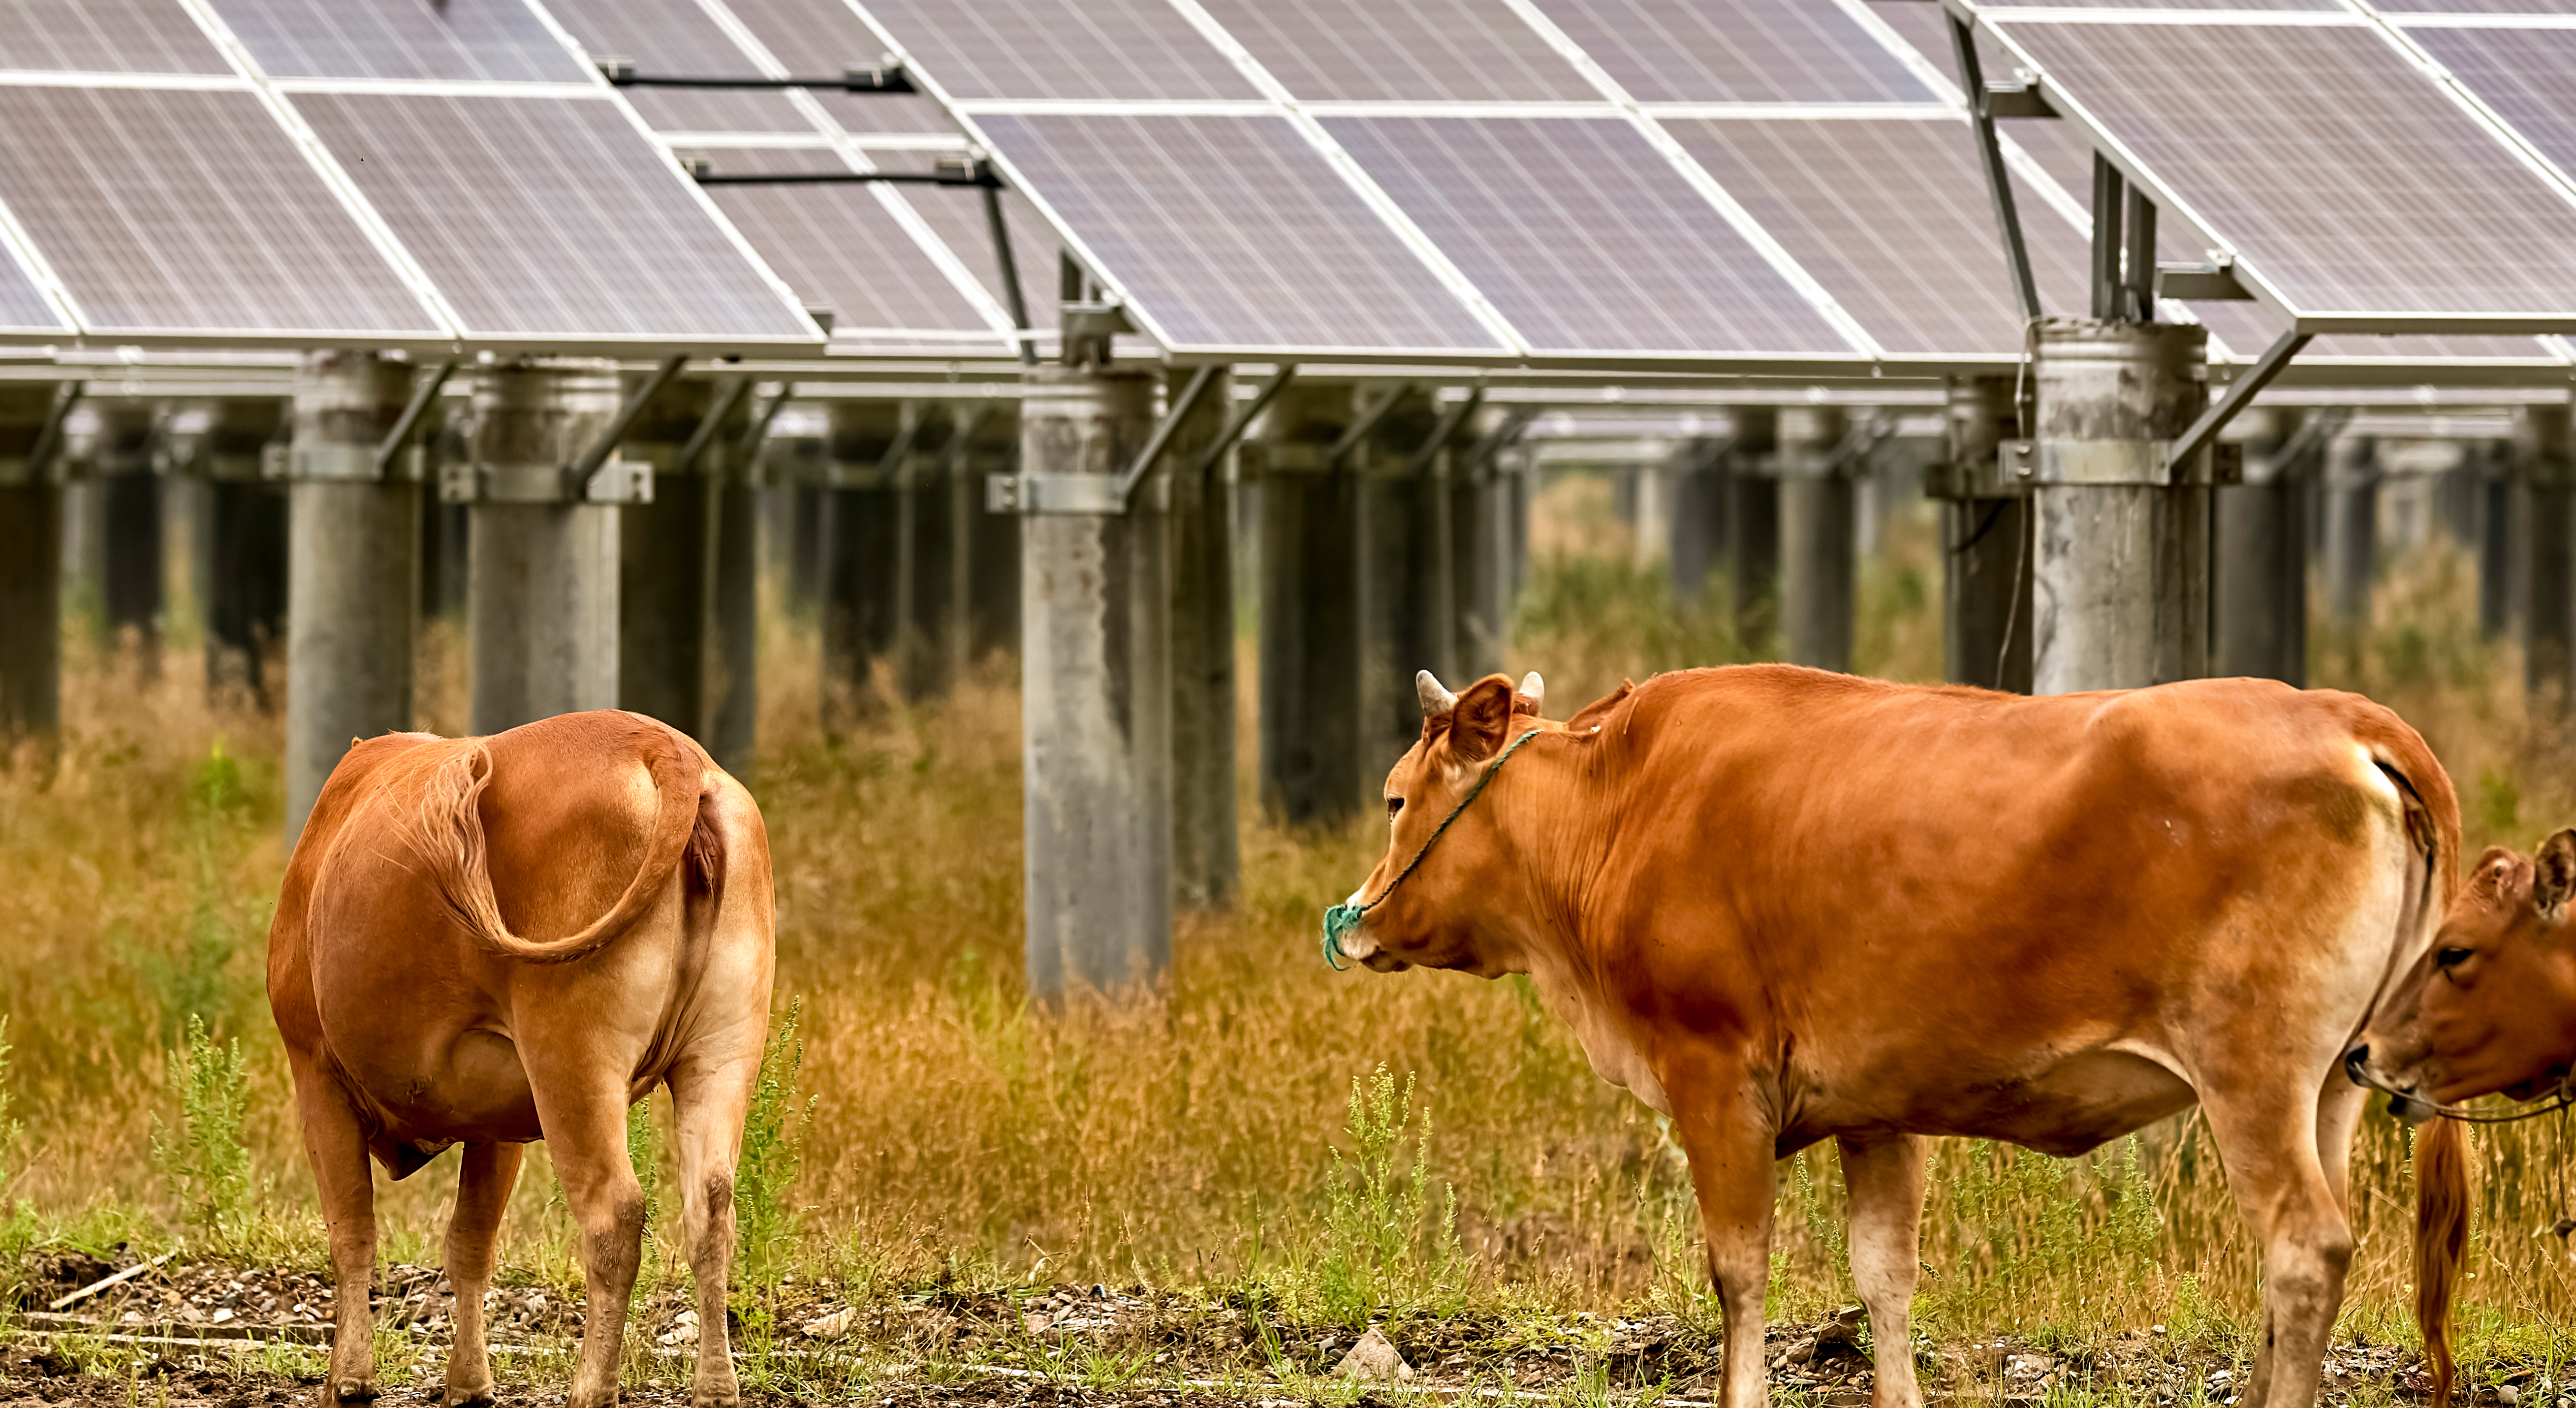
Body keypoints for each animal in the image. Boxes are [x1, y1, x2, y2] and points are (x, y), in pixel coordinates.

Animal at [276, 710, 773, 1408]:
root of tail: (664, 744)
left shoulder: (315, 1068)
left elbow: (352, 1230)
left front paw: (348, 1380)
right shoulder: (498, 1116)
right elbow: (471, 1242)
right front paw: (469, 1382)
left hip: (571, 1060)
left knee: (616, 1214)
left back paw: (592, 1389)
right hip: (723, 1050)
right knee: (712, 1209)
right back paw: (716, 1387)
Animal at [1339, 669, 2442, 1408]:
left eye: (1393, 796)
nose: (1353, 921)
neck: (1622, 802)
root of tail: (2346, 714)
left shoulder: (1712, 1075)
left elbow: (1738, 1268)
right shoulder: (1876, 1106)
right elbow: (1884, 1273)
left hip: (2250, 1074)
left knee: (2302, 1246)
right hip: (2329, 1088)